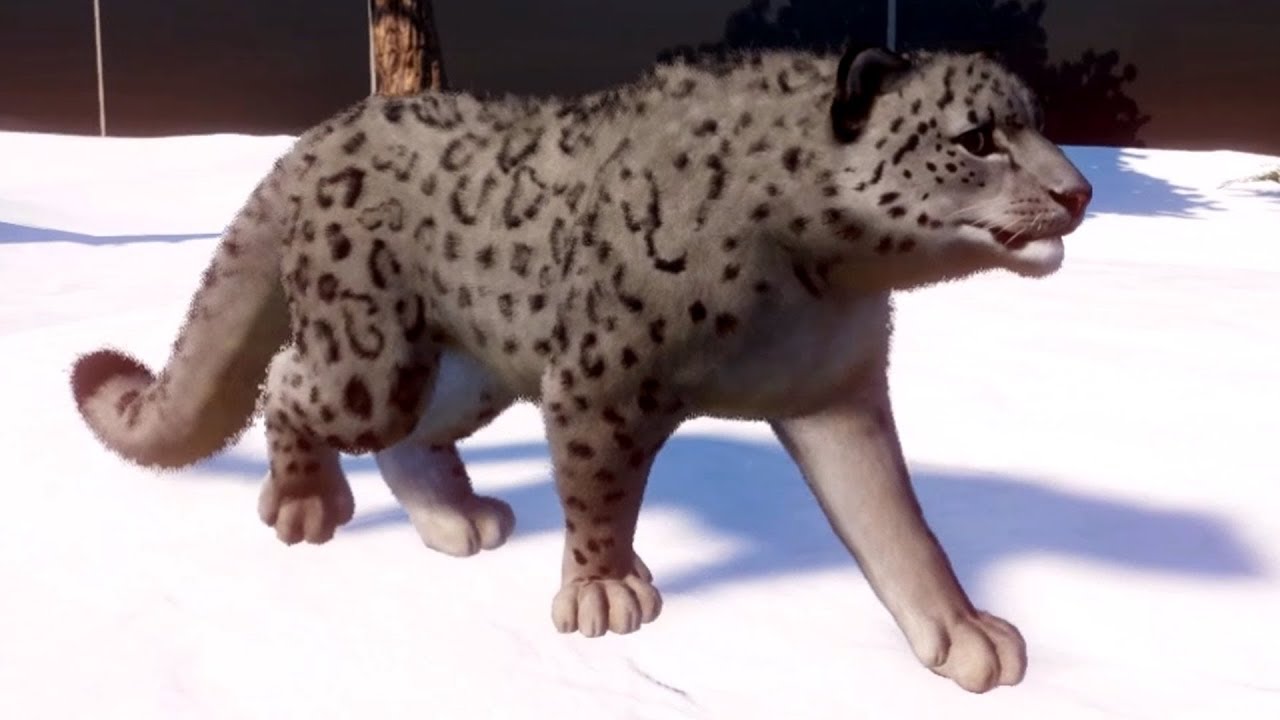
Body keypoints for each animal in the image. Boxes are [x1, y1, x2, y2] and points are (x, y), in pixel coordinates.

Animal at [69, 45, 1092, 693]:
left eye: (1038, 124)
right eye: (976, 138)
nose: (1078, 190)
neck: (821, 280)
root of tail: (327, 131)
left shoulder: (836, 393)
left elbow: (894, 524)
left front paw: (964, 634)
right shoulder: (604, 376)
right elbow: (600, 487)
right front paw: (605, 590)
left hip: (471, 367)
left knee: (412, 436)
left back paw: (456, 521)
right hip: (370, 357)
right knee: (290, 383)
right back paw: (304, 505)